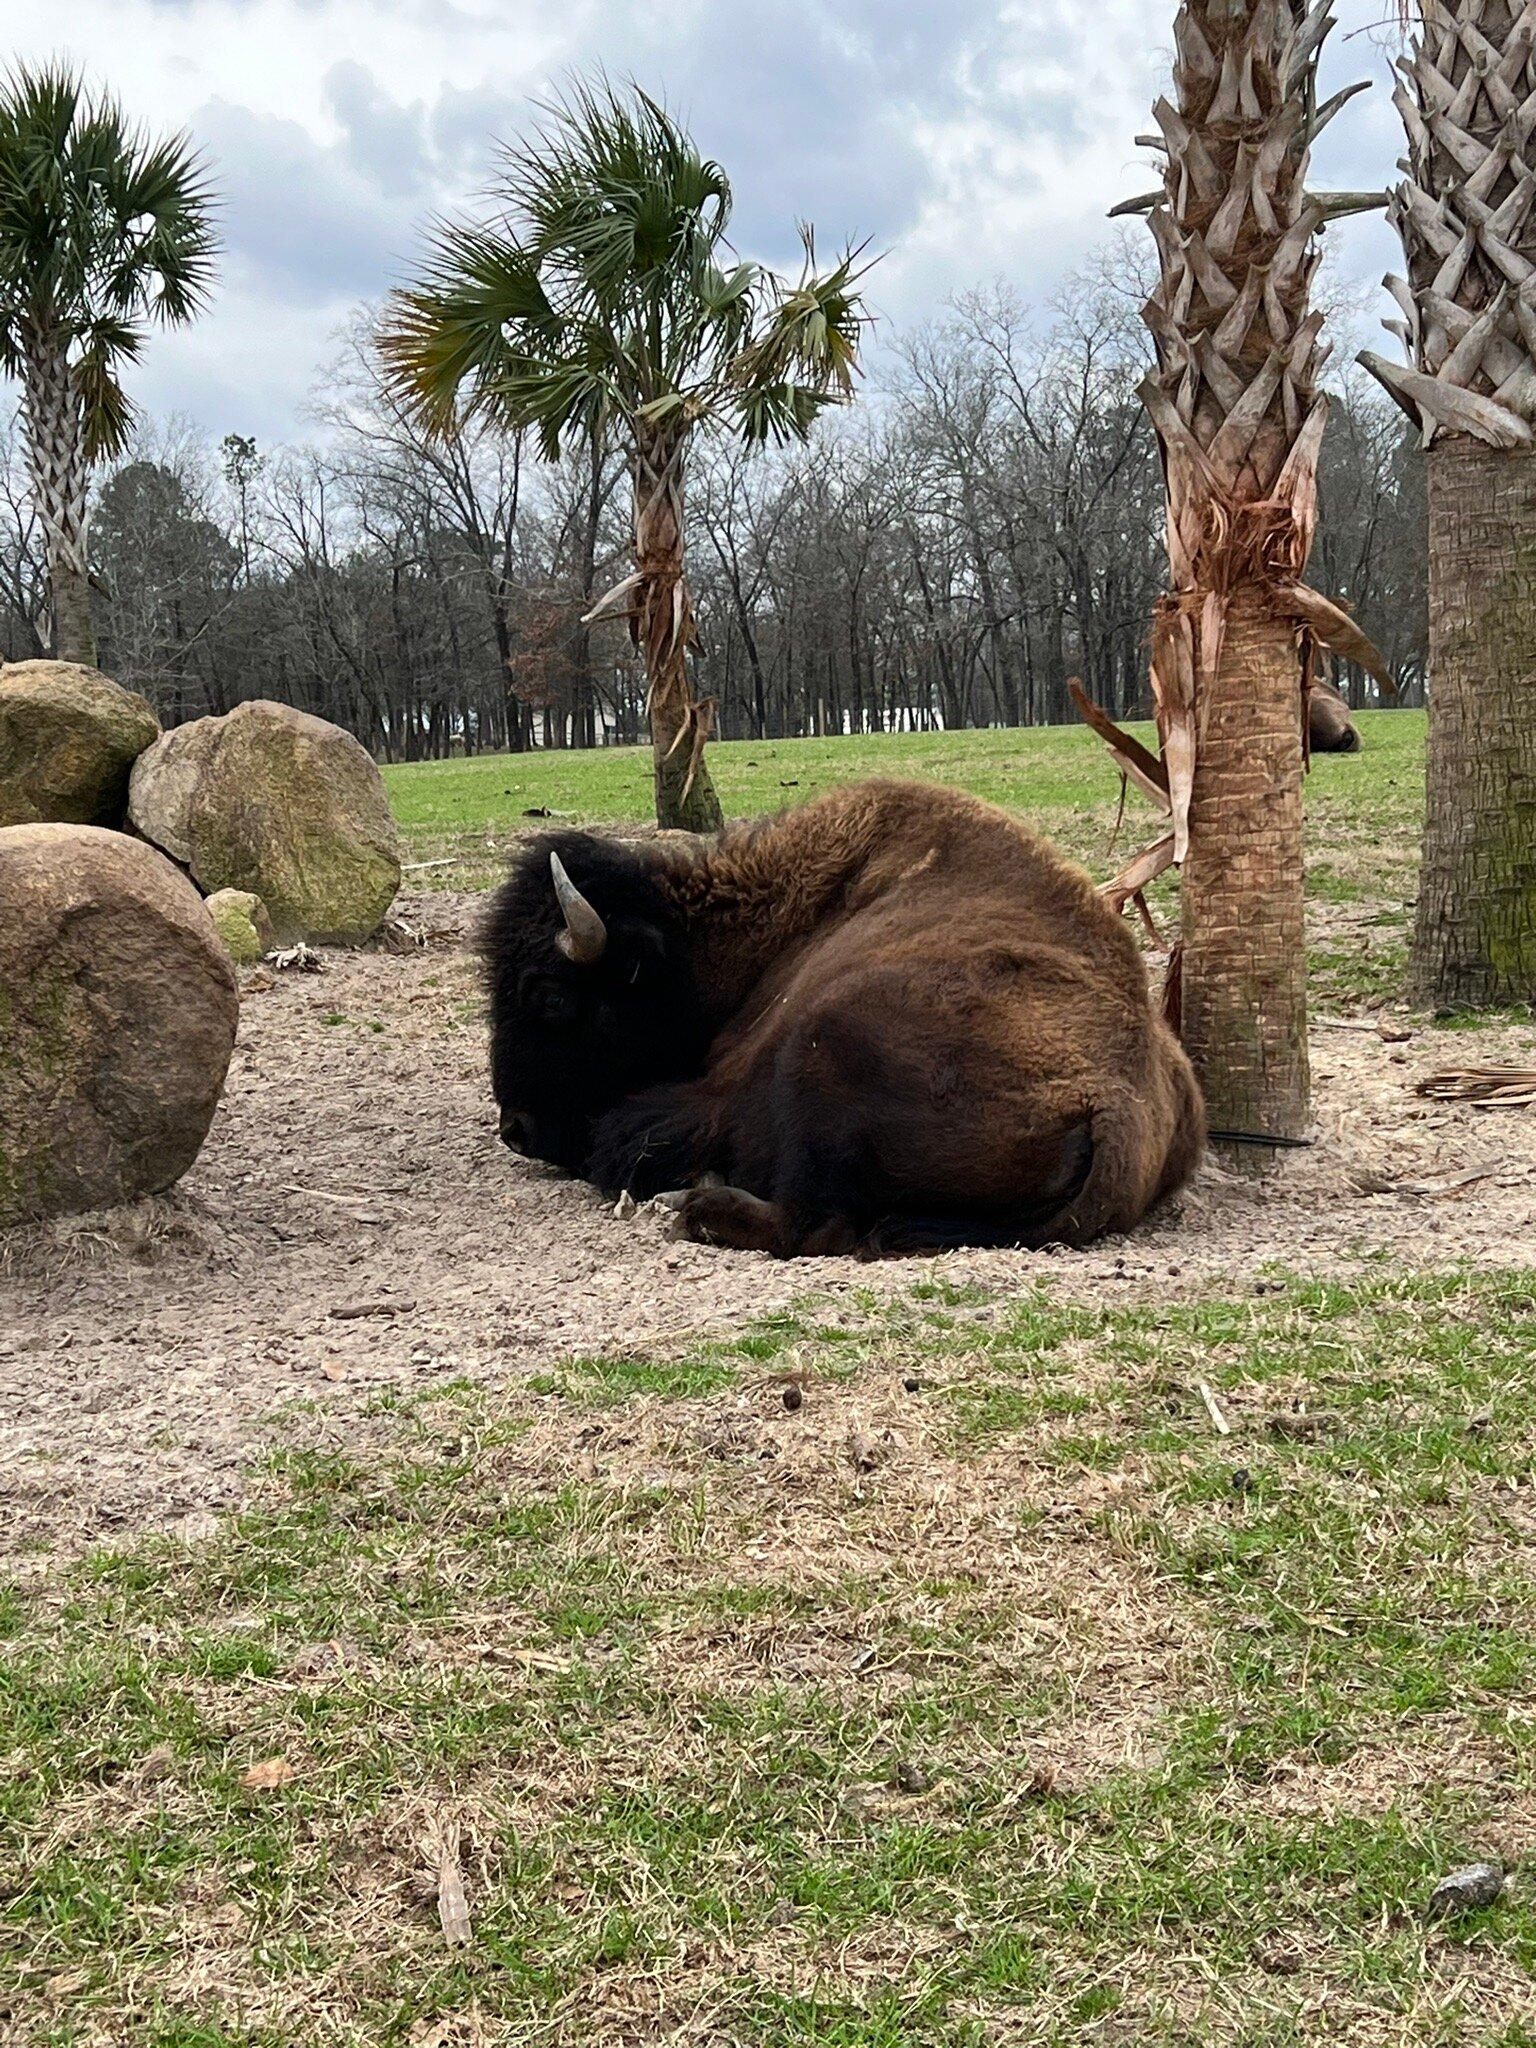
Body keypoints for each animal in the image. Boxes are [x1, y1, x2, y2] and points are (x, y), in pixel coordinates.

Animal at [487, 778, 1212, 1253]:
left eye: (550, 998)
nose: (515, 1130)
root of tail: (1117, 1108)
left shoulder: (716, 1092)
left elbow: (626, 1138)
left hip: (821, 1047)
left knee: (815, 1226)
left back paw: (696, 1204)